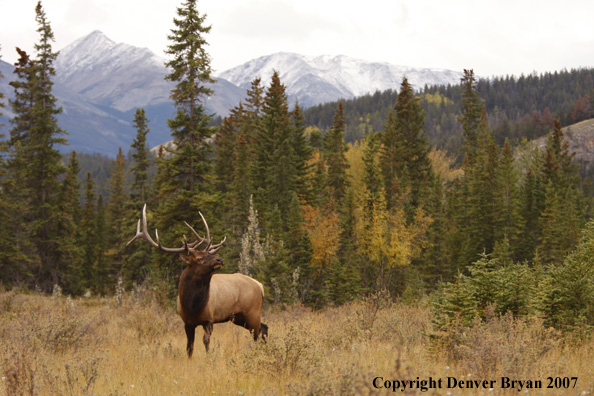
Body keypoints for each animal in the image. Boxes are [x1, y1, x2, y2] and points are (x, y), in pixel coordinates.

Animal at [128, 206, 270, 358]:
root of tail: (260, 286)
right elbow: (189, 346)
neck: (192, 305)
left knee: (258, 333)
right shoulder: (187, 322)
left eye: (209, 254)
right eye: (199, 258)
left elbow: (205, 341)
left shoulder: (209, 319)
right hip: (238, 317)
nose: (220, 259)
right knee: (263, 328)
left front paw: (209, 358)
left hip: (252, 312)